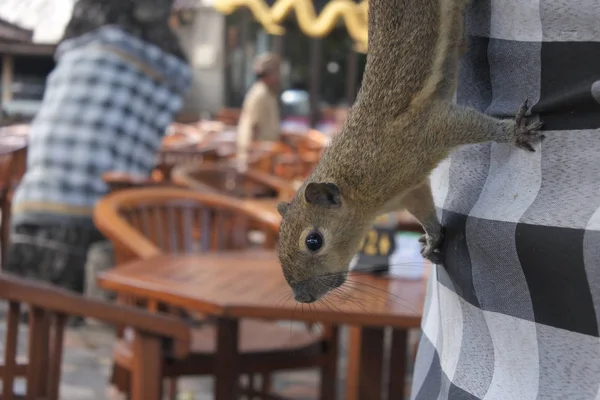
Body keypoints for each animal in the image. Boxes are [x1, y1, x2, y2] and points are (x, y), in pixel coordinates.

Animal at [276, 0, 544, 304]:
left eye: (313, 241)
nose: (302, 297)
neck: (359, 184)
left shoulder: (426, 132)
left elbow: (471, 124)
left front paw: (512, 132)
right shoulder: (410, 189)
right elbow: (423, 208)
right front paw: (432, 237)